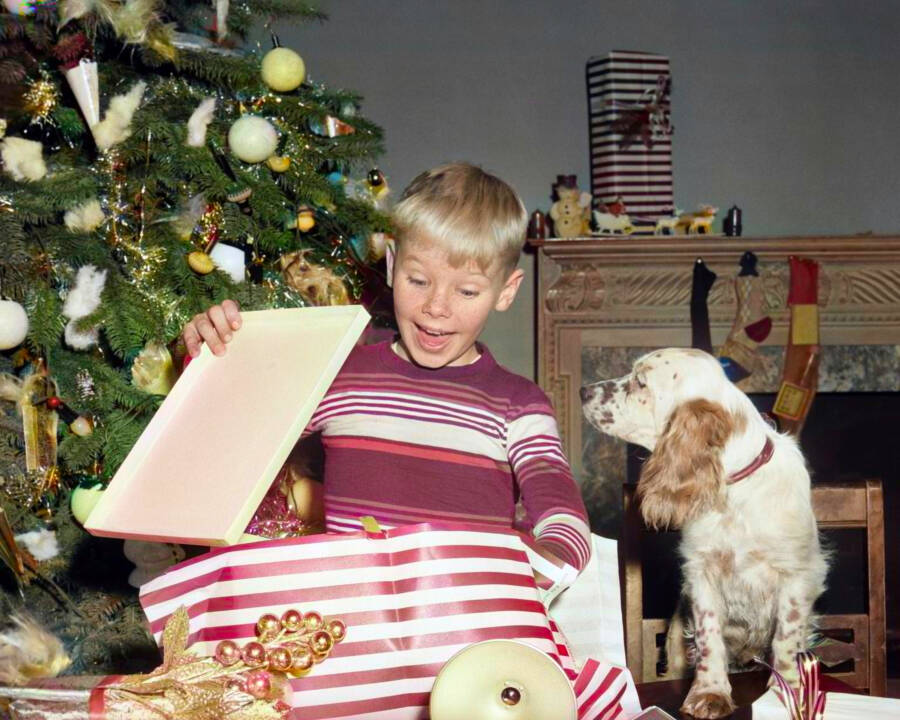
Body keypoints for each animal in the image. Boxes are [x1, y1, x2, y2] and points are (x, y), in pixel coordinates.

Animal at [580, 348, 828, 716]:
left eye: (640, 381)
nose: (583, 391)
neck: (732, 495)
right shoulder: (701, 574)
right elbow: (710, 639)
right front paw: (710, 693)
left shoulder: (797, 575)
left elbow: (786, 639)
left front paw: (786, 693)